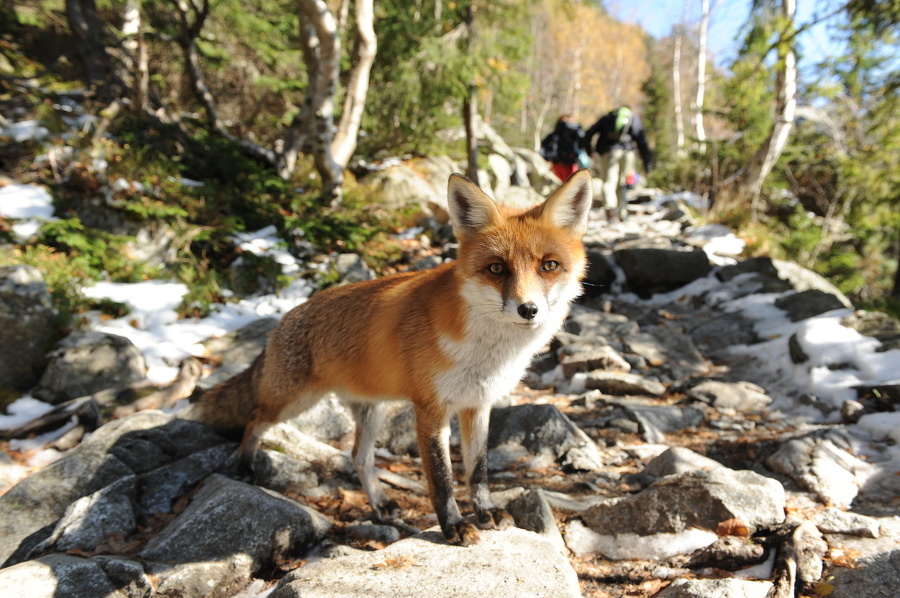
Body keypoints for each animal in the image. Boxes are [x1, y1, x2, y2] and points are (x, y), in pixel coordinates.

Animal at [182, 170, 592, 548]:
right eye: (496, 268)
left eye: (549, 266)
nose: (529, 309)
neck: (488, 353)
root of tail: (285, 318)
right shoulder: (430, 408)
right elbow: (442, 479)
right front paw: (454, 527)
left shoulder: (477, 404)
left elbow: (478, 471)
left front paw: (486, 512)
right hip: (293, 402)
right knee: (254, 420)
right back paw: (244, 467)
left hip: (371, 410)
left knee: (358, 458)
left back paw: (380, 505)